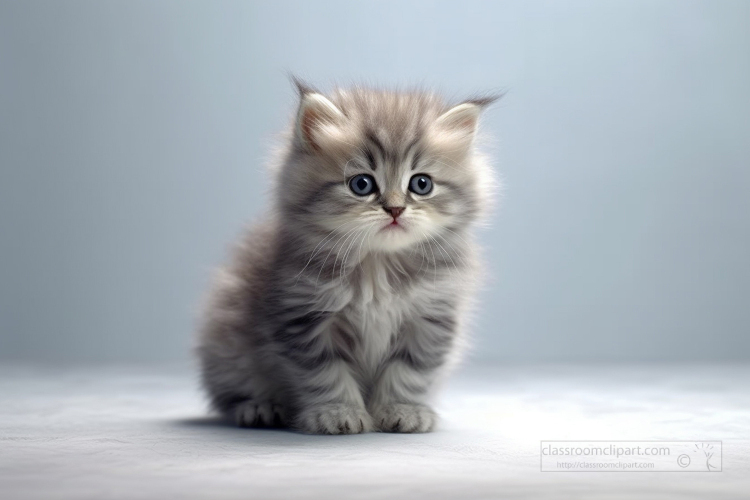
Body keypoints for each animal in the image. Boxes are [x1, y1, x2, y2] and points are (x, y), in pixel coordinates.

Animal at [198, 82, 500, 434]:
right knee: (231, 393)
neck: (378, 264)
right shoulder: (304, 316)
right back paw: (260, 407)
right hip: (227, 345)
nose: (395, 209)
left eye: (421, 184)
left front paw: (403, 409)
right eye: (362, 184)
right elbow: (326, 374)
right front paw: (337, 413)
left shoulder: (431, 316)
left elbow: (409, 371)